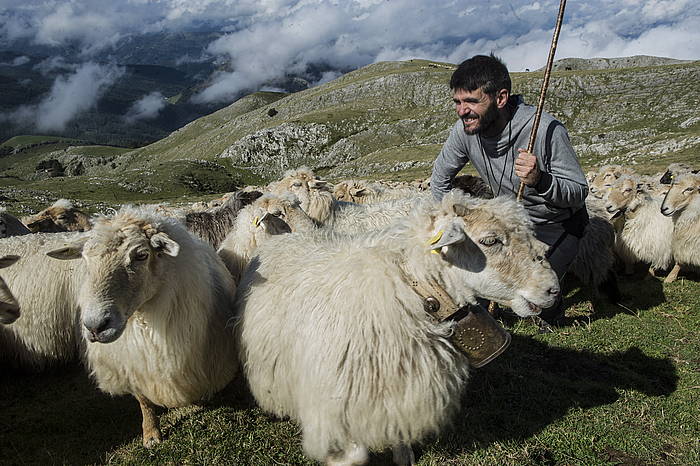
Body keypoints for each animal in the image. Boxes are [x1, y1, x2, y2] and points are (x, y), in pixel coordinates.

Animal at [47, 208, 238, 448]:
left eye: (141, 255)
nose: (95, 326)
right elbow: (144, 401)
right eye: (85, 258)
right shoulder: (134, 365)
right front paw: (151, 434)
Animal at [238, 191, 560, 464]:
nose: (553, 289)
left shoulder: (398, 387)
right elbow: (353, 455)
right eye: (491, 241)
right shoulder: (332, 403)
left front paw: (404, 456)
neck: (411, 286)